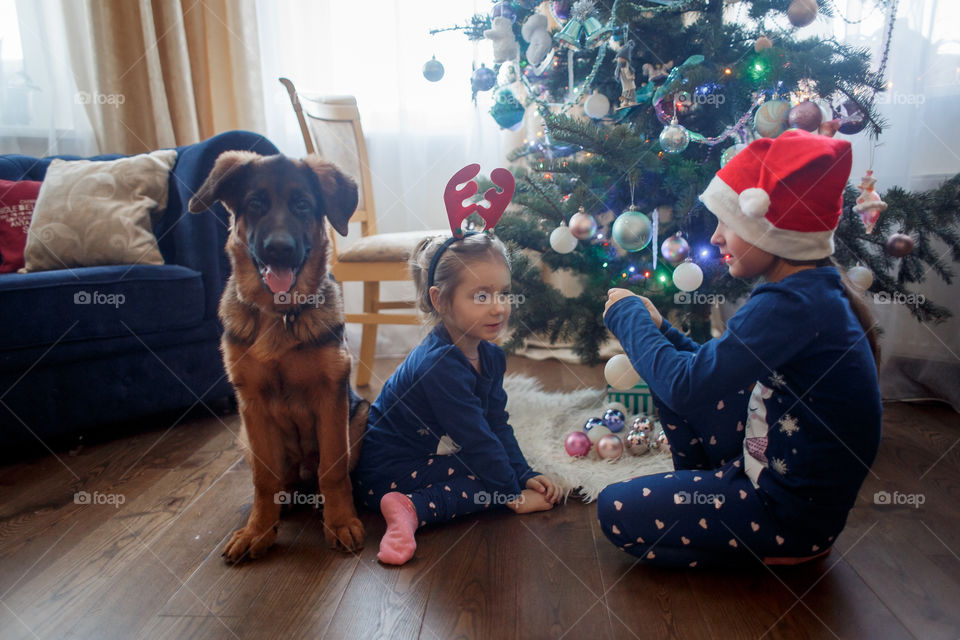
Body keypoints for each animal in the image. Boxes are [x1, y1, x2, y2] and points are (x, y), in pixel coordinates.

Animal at [190, 152, 368, 564]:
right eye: (255, 204)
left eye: (302, 205)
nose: (279, 249)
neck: (280, 315)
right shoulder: (251, 405)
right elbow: (263, 478)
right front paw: (258, 529)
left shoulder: (331, 399)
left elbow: (333, 468)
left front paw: (340, 522)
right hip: (245, 436)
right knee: (280, 478)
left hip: (360, 415)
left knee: (325, 473)